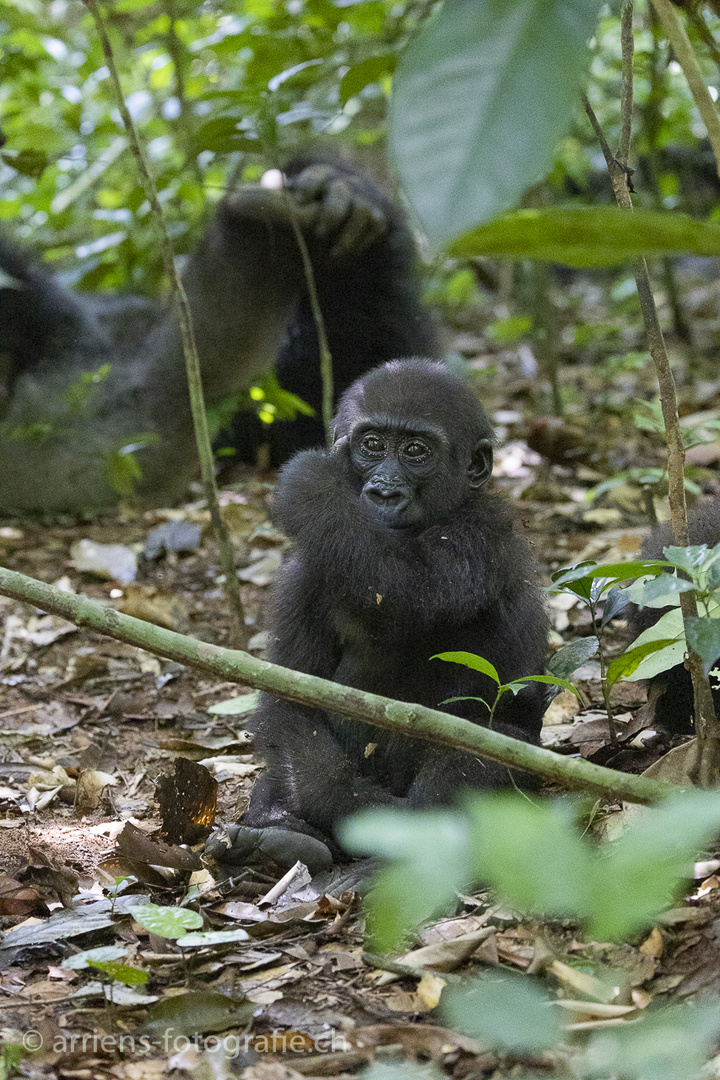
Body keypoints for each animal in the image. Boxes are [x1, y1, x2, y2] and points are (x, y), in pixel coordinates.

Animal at [211, 358, 548, 872]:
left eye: (416, 451)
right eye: (371, 445)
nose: (385, 491)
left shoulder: (484, 532)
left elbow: (406, 589)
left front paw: (310, 485)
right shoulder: (304, 572)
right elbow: (293, 699)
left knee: (489, 757)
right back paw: (279, 835)